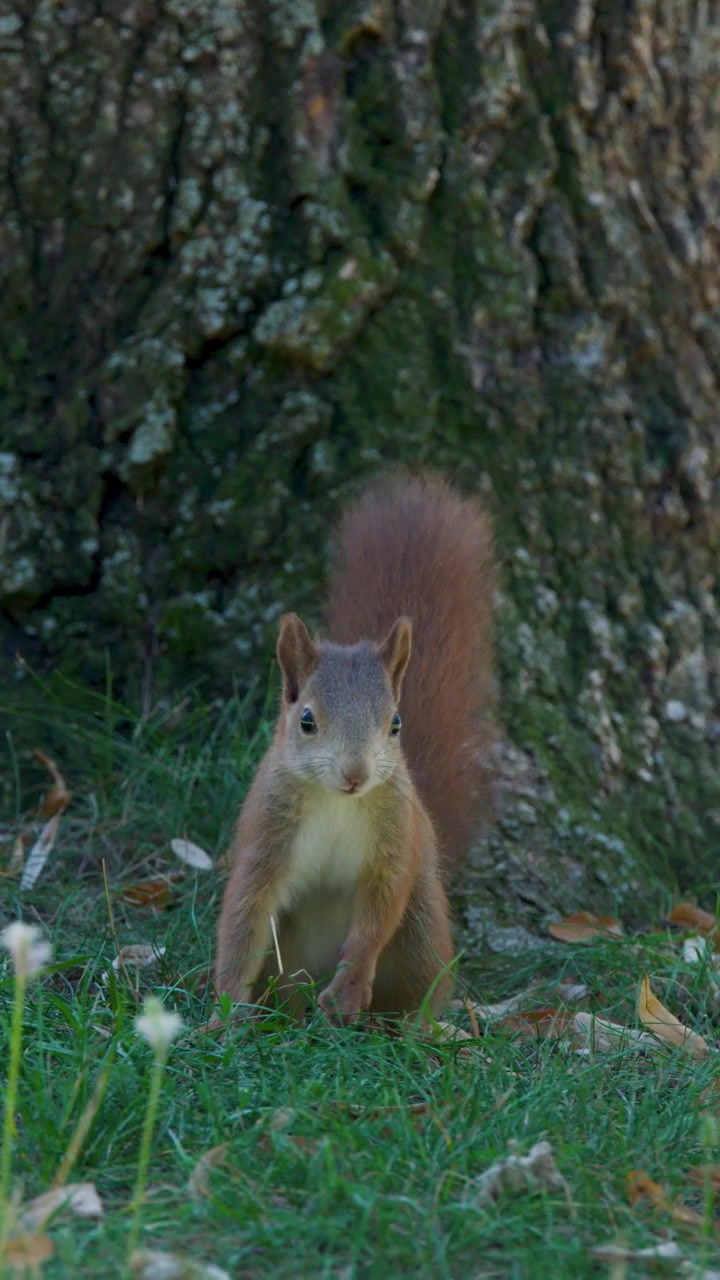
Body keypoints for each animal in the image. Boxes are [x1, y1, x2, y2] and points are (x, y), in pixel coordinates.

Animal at [213, 471, 496, 1024]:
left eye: (396, 723)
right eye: (306, 721)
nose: (357, 774)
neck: (336, 803)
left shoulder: (394, 841)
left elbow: (378, 912)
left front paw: (347, 986)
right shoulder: (266, 834)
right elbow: (244, 915)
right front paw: (224, 1014)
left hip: (421, 932)